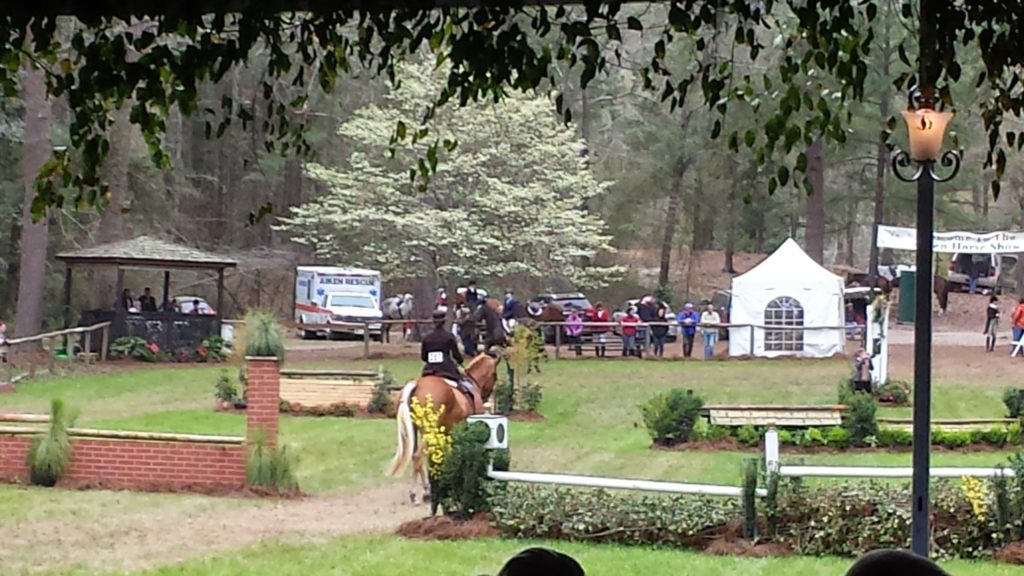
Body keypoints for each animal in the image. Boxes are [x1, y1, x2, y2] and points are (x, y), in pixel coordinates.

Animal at [385, 350, 499, 502]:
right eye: (494, 375)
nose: (486, 396)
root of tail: (417, 384)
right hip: (428, 431)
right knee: (418, 456)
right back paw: (415, 494)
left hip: (416, 431)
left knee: (416, 456)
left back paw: (426, 491)